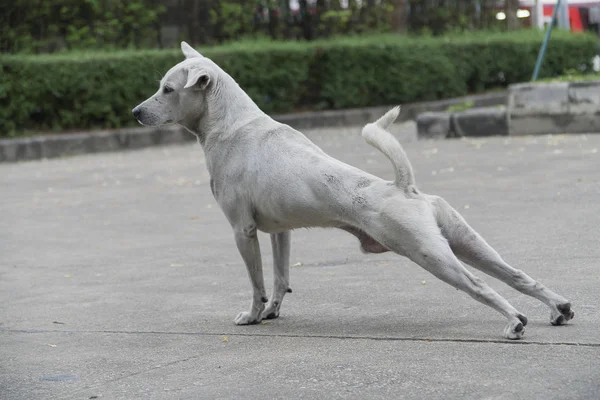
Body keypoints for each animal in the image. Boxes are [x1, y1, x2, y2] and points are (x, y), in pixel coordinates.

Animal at [134, 42, 576, 340]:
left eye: (168, 90)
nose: (136, 112)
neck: (233, 125)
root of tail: (405, 187)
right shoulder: (280, 232)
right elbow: (279, 277)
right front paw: (273, 311)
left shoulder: (243, 232)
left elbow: (257, 283)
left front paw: (253, 315)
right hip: (465, 241)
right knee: (517, 275)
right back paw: (559, 308)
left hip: (428, 253)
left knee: (481, 285)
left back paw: (515, 322)